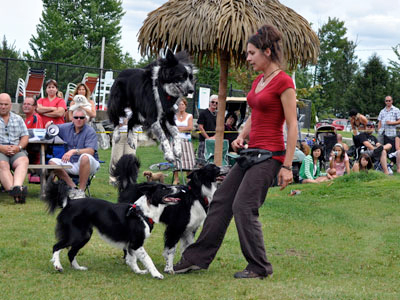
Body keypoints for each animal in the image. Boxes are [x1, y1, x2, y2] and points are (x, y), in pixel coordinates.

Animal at [43, 176, 184, 278]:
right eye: (165, 188)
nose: (180, 188)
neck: (142, 212)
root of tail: (69, 203)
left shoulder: (130, 244)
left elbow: (132, 260)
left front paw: (138, 271)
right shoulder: (136, 243)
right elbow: (147, 259)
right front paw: (156, 274)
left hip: (84, 236)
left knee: (71, 252)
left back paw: (78, 268)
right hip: (77, 235)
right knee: (56, 247)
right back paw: (58, 266)